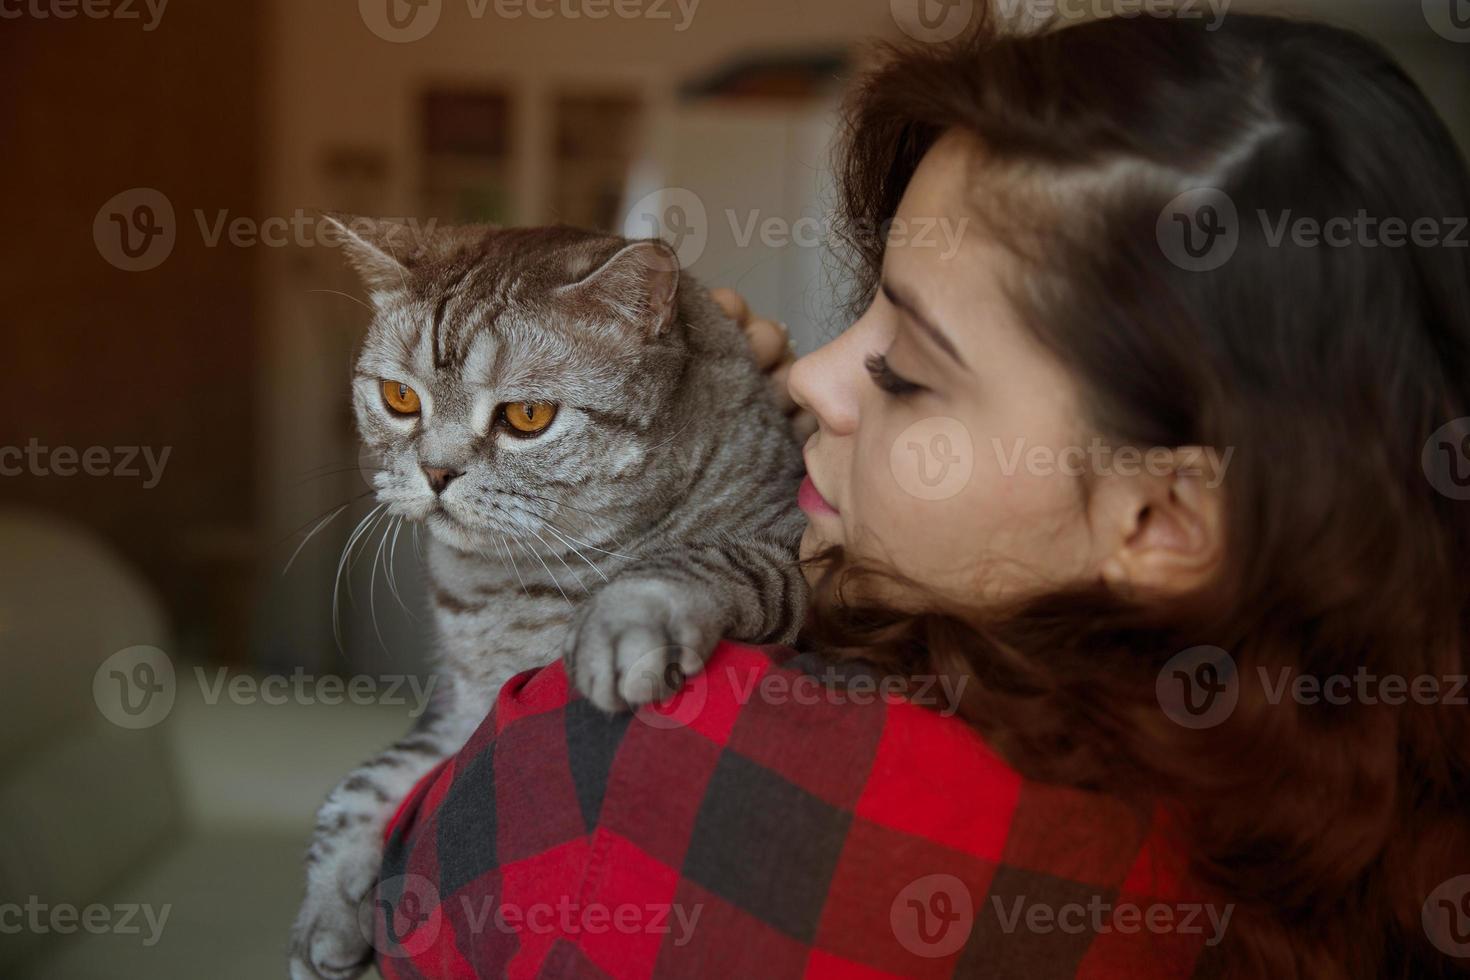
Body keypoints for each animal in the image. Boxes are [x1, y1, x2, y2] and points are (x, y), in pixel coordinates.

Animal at [288, 215, 811, 980]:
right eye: (401, 400)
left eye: (527, 416)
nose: (435, 472)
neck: (512, 586)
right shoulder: (457, 707)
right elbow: (362, 786)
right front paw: (324, 913)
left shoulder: (801, 549)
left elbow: (708, 557)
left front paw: (626, 615)